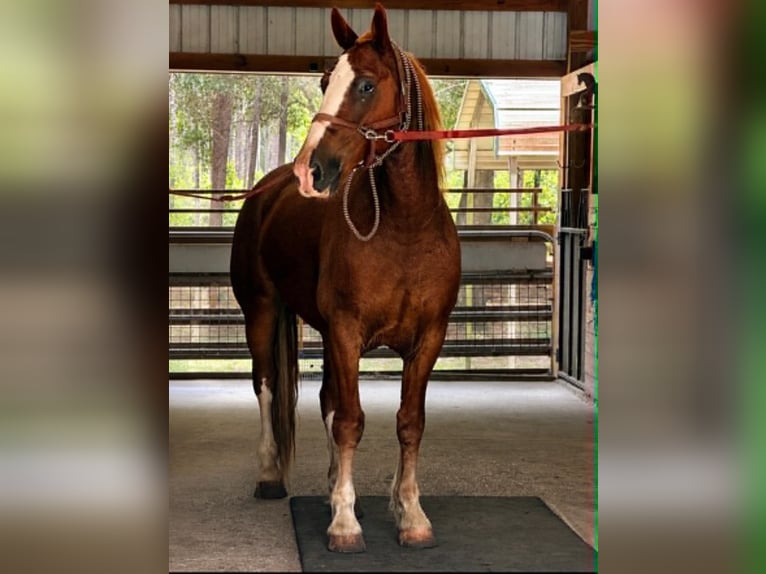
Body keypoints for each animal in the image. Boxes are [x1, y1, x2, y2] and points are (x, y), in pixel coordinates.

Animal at [230, 3, 461, 553]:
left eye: (366, 85)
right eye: (323, 82)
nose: (310, 172)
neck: (405, 229)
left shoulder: (429, 338)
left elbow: (408, 423)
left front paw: (409, 513)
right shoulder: (346, 331)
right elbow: (352, 421)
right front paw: (345, 522)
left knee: (327, 403)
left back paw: (335, 481)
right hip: (262, 313)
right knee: (267, 386)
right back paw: (270, 474)